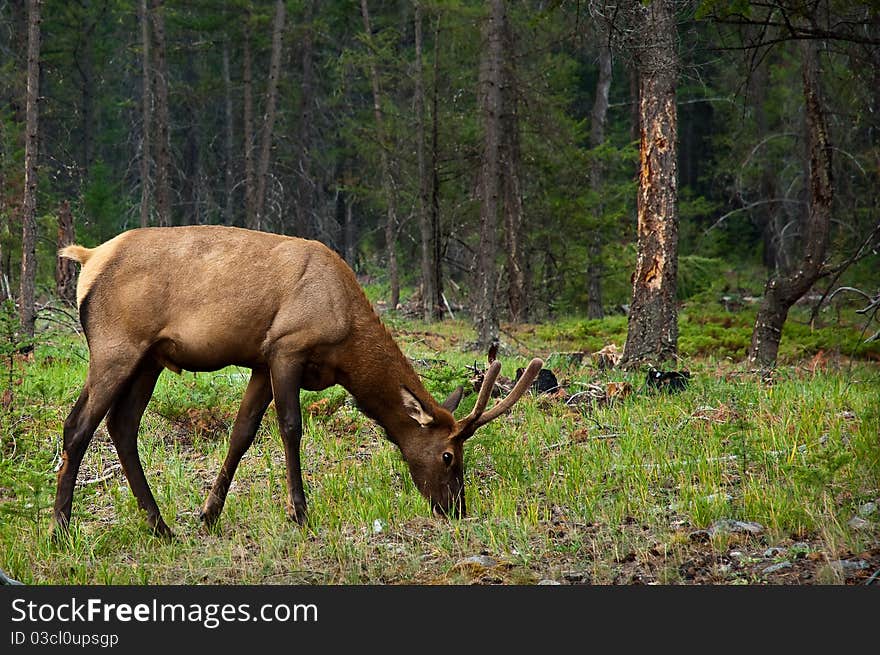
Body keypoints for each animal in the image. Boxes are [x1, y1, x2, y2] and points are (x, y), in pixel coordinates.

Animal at [53, 227, 544, 540]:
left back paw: (161, 528)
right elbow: (290, 427)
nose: (457, 509)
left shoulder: (259, 360)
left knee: (122, 426)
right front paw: (300, 513)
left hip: (149, 359)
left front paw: (208, 515)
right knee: (78, 426)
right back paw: (61, 530)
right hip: (117, 346)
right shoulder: (287, 348)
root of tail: (88, 257)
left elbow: (242, 433)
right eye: (448, 456)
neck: (347, 344)